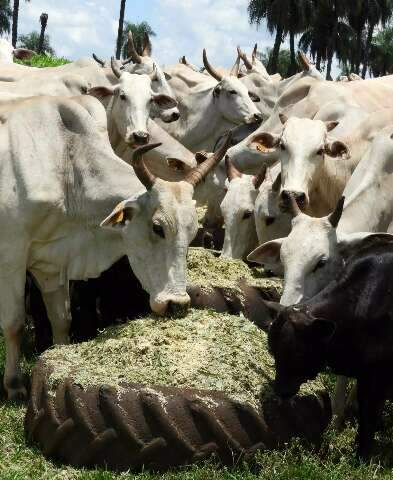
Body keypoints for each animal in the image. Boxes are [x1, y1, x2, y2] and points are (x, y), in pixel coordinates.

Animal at [0, 95, 230, 400]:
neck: (65, 164)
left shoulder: (52, 262)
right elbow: (14, 324)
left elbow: (61, 319)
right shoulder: (11, 257)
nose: (176, 305)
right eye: (158, 227)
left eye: (192, 232)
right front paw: (14, 385)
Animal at [262, 242, 393, 460]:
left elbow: (368, 422)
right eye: (272, 351)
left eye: (298, 353)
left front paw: (361, 458)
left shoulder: (377, 378)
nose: (281, 391)